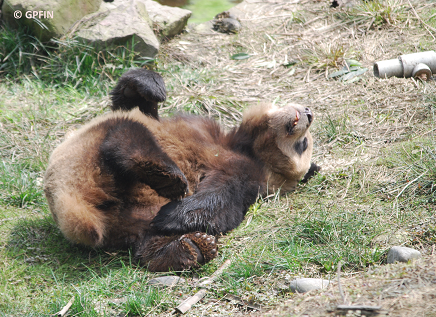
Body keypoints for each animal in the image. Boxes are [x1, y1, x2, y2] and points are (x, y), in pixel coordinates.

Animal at [42, 69, 318, 272]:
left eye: (303, 145)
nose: (309, 113)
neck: (247, 147)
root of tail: (74, 205)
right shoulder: (200, 126)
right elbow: (132, 100)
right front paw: (153, 87)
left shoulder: (249, 176)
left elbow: (221, 201)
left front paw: (171, 215)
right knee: (128, 130)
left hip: (102, 175)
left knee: (125, 141)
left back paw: (187, 238)